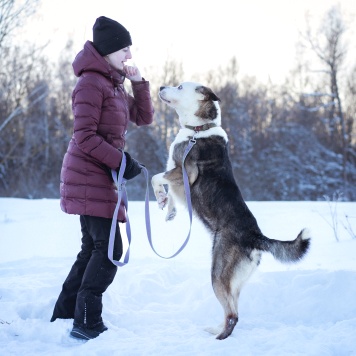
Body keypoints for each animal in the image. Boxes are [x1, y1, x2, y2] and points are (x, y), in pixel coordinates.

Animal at [152, 82, 310, 340]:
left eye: (180, 86)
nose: (161, 86)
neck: (198, 130)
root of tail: (256, 237)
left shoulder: (185, 172)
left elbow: (156, 178)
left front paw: (160, 196)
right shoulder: (176, 175)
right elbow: (168, 190)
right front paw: (168, 209)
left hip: (218, 273)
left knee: (233, 315)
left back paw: (219, 338)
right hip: (233, 281)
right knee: (232, 309)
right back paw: (216, 329)